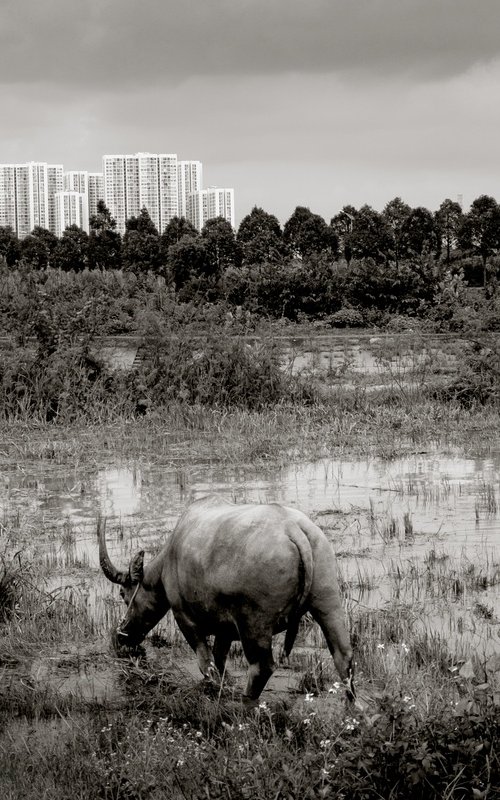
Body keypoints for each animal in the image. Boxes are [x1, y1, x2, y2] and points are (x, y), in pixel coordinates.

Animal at [99, 495, 354, 705]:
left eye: (123, 595)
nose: (121, 636)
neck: (168, 561)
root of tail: (294, 529)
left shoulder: (184, 617)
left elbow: (206, 663)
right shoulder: (225, 631)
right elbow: (219, 660)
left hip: (254, 624)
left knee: (261, 667)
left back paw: (245, 702)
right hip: (328, 601)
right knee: (344, 656)